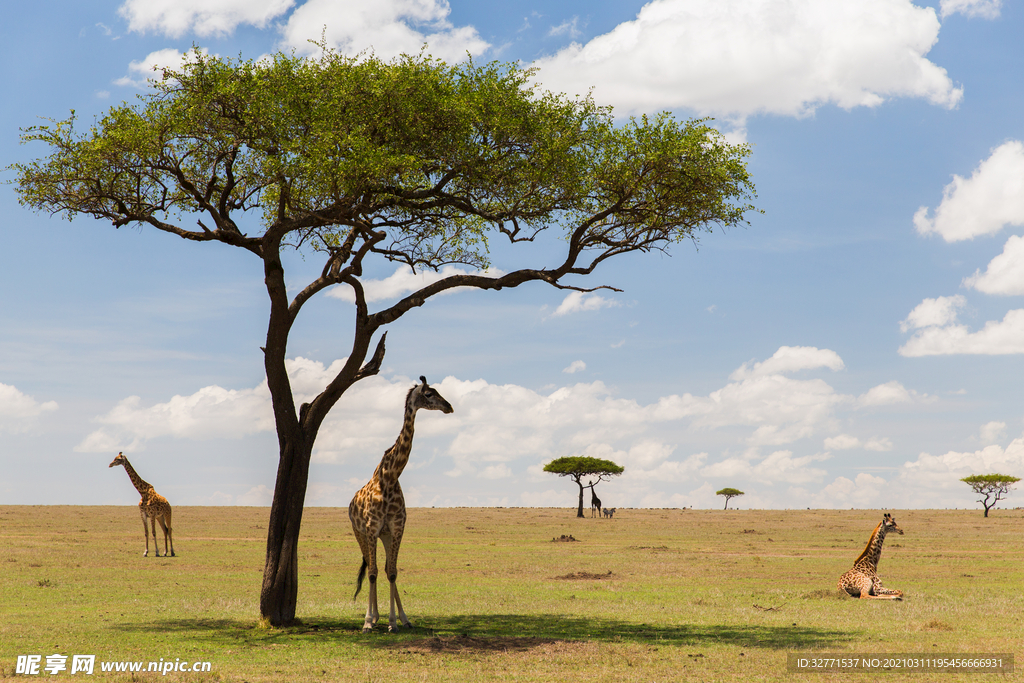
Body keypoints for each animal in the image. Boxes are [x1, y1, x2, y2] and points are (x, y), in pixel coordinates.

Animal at [348, 376, 452, 634]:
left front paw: (395, 622)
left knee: (386, 570)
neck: (390, 476)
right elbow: (373, 573)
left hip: (384, 535)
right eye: (429, 393)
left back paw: (397, 619)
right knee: (372, 569)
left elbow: (392, 572)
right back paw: (374, 617)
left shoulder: (396, 527)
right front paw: (368, 622)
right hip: (360, 533)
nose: (449, 406)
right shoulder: (372, 528)